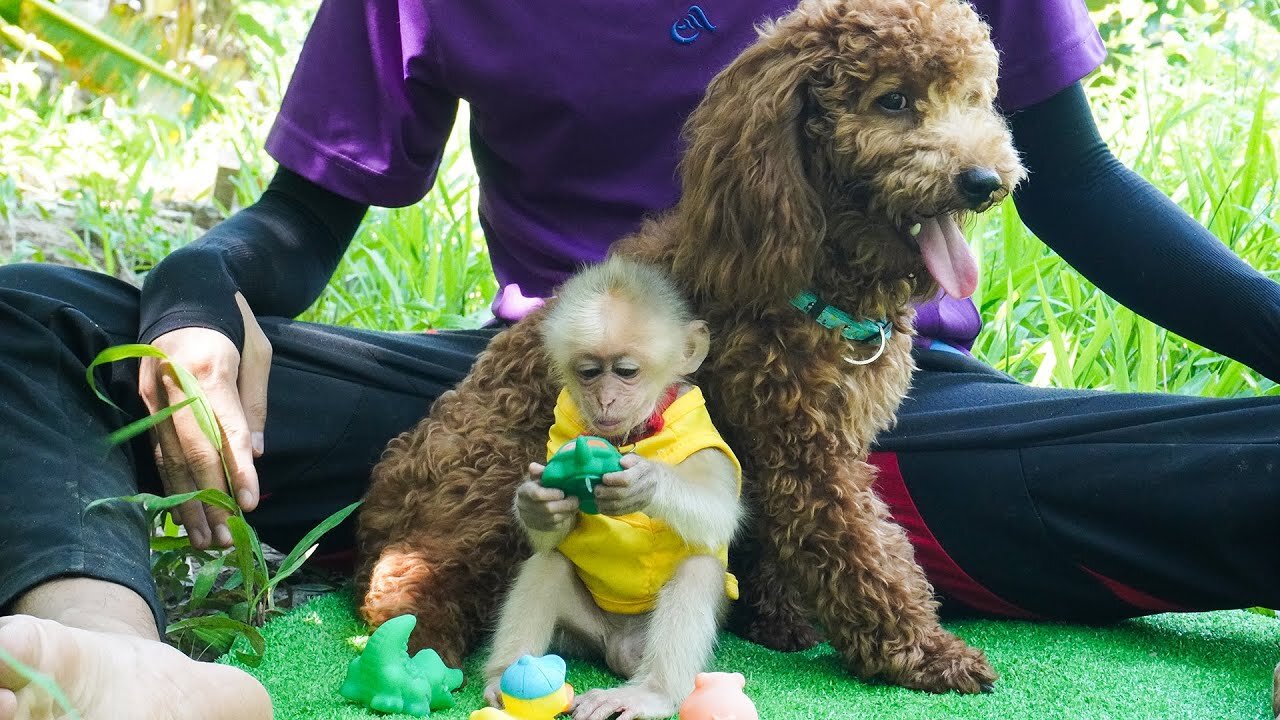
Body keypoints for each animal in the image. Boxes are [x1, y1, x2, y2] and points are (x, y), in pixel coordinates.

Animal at [483, 256, 747, 717]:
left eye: (626, 372)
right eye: (589, 372)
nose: (605, 399)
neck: (636, 432)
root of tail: (619, 646)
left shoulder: (706, 441)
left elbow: (720, 513)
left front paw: (647, 482)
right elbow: (550, 538)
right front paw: (536, 503)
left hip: (646, 639)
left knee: (698, 568)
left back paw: (651, 692)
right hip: (586, 633)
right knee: (548, 564)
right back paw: (506, 676)